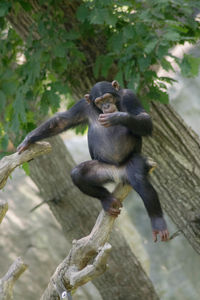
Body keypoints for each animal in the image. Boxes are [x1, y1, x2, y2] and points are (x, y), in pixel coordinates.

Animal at [17, 81, 169, 243]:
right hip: (103, 169)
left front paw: (117, 117)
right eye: (99, 101)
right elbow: (62, 121)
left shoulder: (130, 96)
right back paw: (107, 200)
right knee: (78, 174)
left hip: (132, 162)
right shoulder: (82, 106)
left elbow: (144, 118)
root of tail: (118, 173)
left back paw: (158, 223)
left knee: (140, 180)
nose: (107, 106)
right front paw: (28, 139)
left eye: (108, 97)